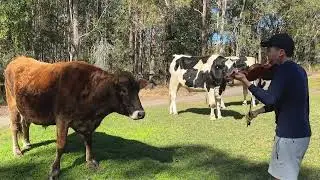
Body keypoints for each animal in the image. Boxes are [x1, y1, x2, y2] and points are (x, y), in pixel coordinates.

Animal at [4, 56, 147, 179]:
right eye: (123, 90)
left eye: (137, 90)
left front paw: (90, 161)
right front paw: (55, 170)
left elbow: (89, 141)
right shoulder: (62, 119)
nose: (141, 113)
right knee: (15, 127)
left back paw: (27, 143)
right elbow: (61, 145)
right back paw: (17, 151)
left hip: (25, 107)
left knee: (25, 123)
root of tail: (18, 58)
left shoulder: (87, 123)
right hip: (12, 103)